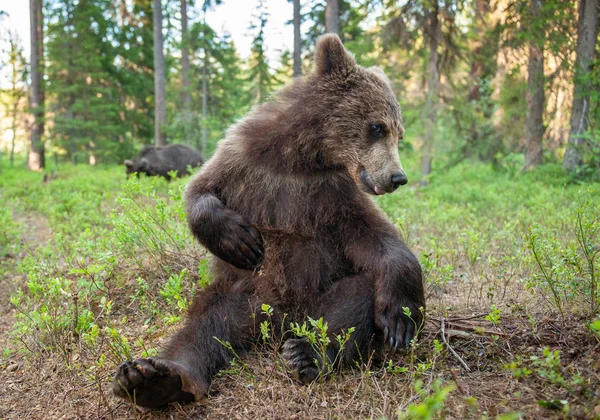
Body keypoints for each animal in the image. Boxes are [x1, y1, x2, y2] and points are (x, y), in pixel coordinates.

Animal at [111, 34, 422, 408]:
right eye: (377, 127)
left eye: (399, 133)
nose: (397, 177)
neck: (299, 159)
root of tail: (275, 321)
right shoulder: (245, 163)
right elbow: (199, 191)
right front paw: (240, 240)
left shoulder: (333, 196)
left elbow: (376, 239)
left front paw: (401, 317)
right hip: (239, 295)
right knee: (203, 327)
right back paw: (152, 378)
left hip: (315, 298)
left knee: (355, 296)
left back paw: (306, 353)